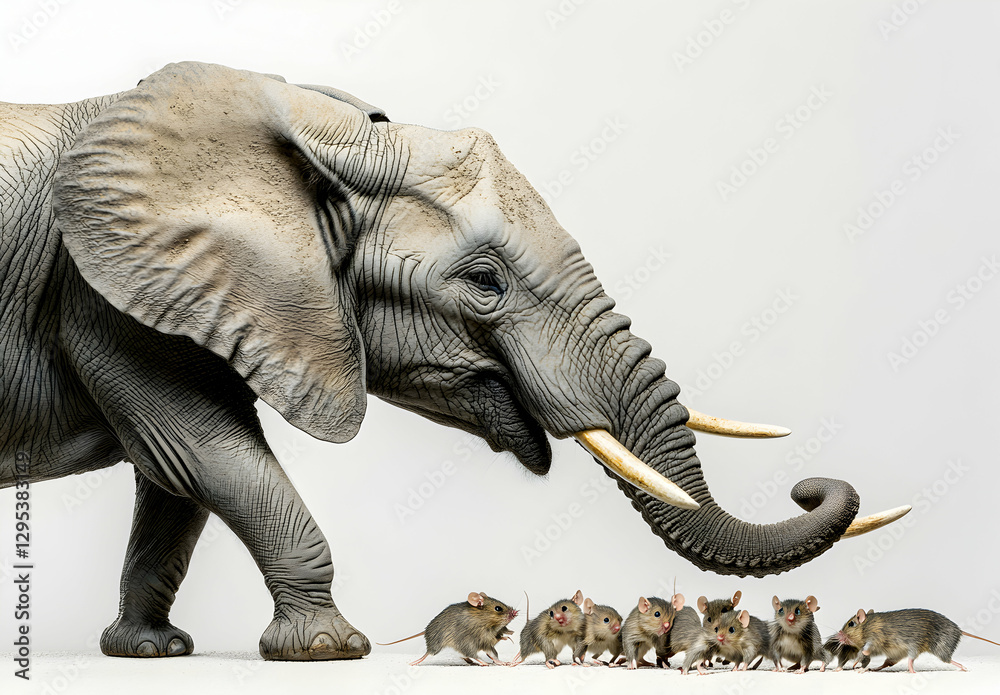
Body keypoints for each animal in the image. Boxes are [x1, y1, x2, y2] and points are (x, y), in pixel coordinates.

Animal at [0, 62, 906, 661]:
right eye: (483, 282)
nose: (809, 484)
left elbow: (176, 481)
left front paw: (149, 651)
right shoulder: (98, 295)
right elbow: (202, 449)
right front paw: (331, 651)